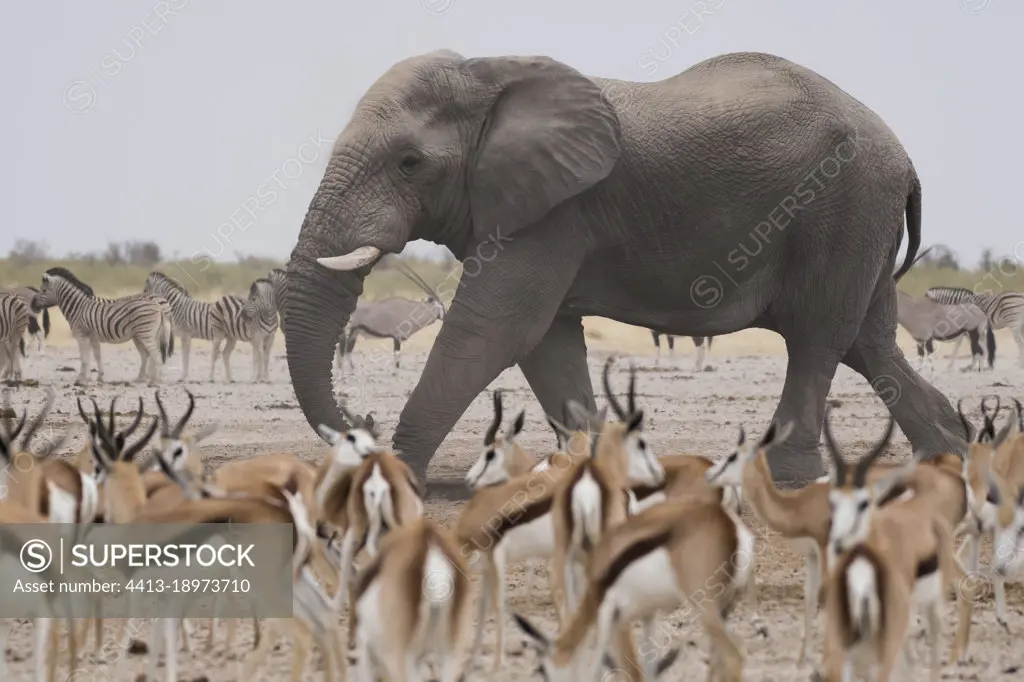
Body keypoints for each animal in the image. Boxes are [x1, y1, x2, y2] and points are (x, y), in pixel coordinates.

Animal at [34, 264, 173, 382]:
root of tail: (158, 305)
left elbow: (84, 357)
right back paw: (144, 378)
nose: (33, 304)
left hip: (146, 333)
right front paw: (99, 377)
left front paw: (82, 379)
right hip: (143, 334)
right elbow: (97, 356)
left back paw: (155, 380)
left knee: (156, 354)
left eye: (43, 290)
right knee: (149, 355)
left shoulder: (81, 335)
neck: (78, 307)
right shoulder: (93, 336)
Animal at [286, 49, 966, 489]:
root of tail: (906, 161)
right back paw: (949, 450)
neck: (491, 75)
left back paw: (790, 479)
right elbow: (548, 344)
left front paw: (397, 475)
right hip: (863, 220)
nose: (360, 423)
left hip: (844, 207)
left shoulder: (556, 212)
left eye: (410, 162)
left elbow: (495, 329)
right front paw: (593, 470)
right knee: (868, 341)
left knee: (818, 338)